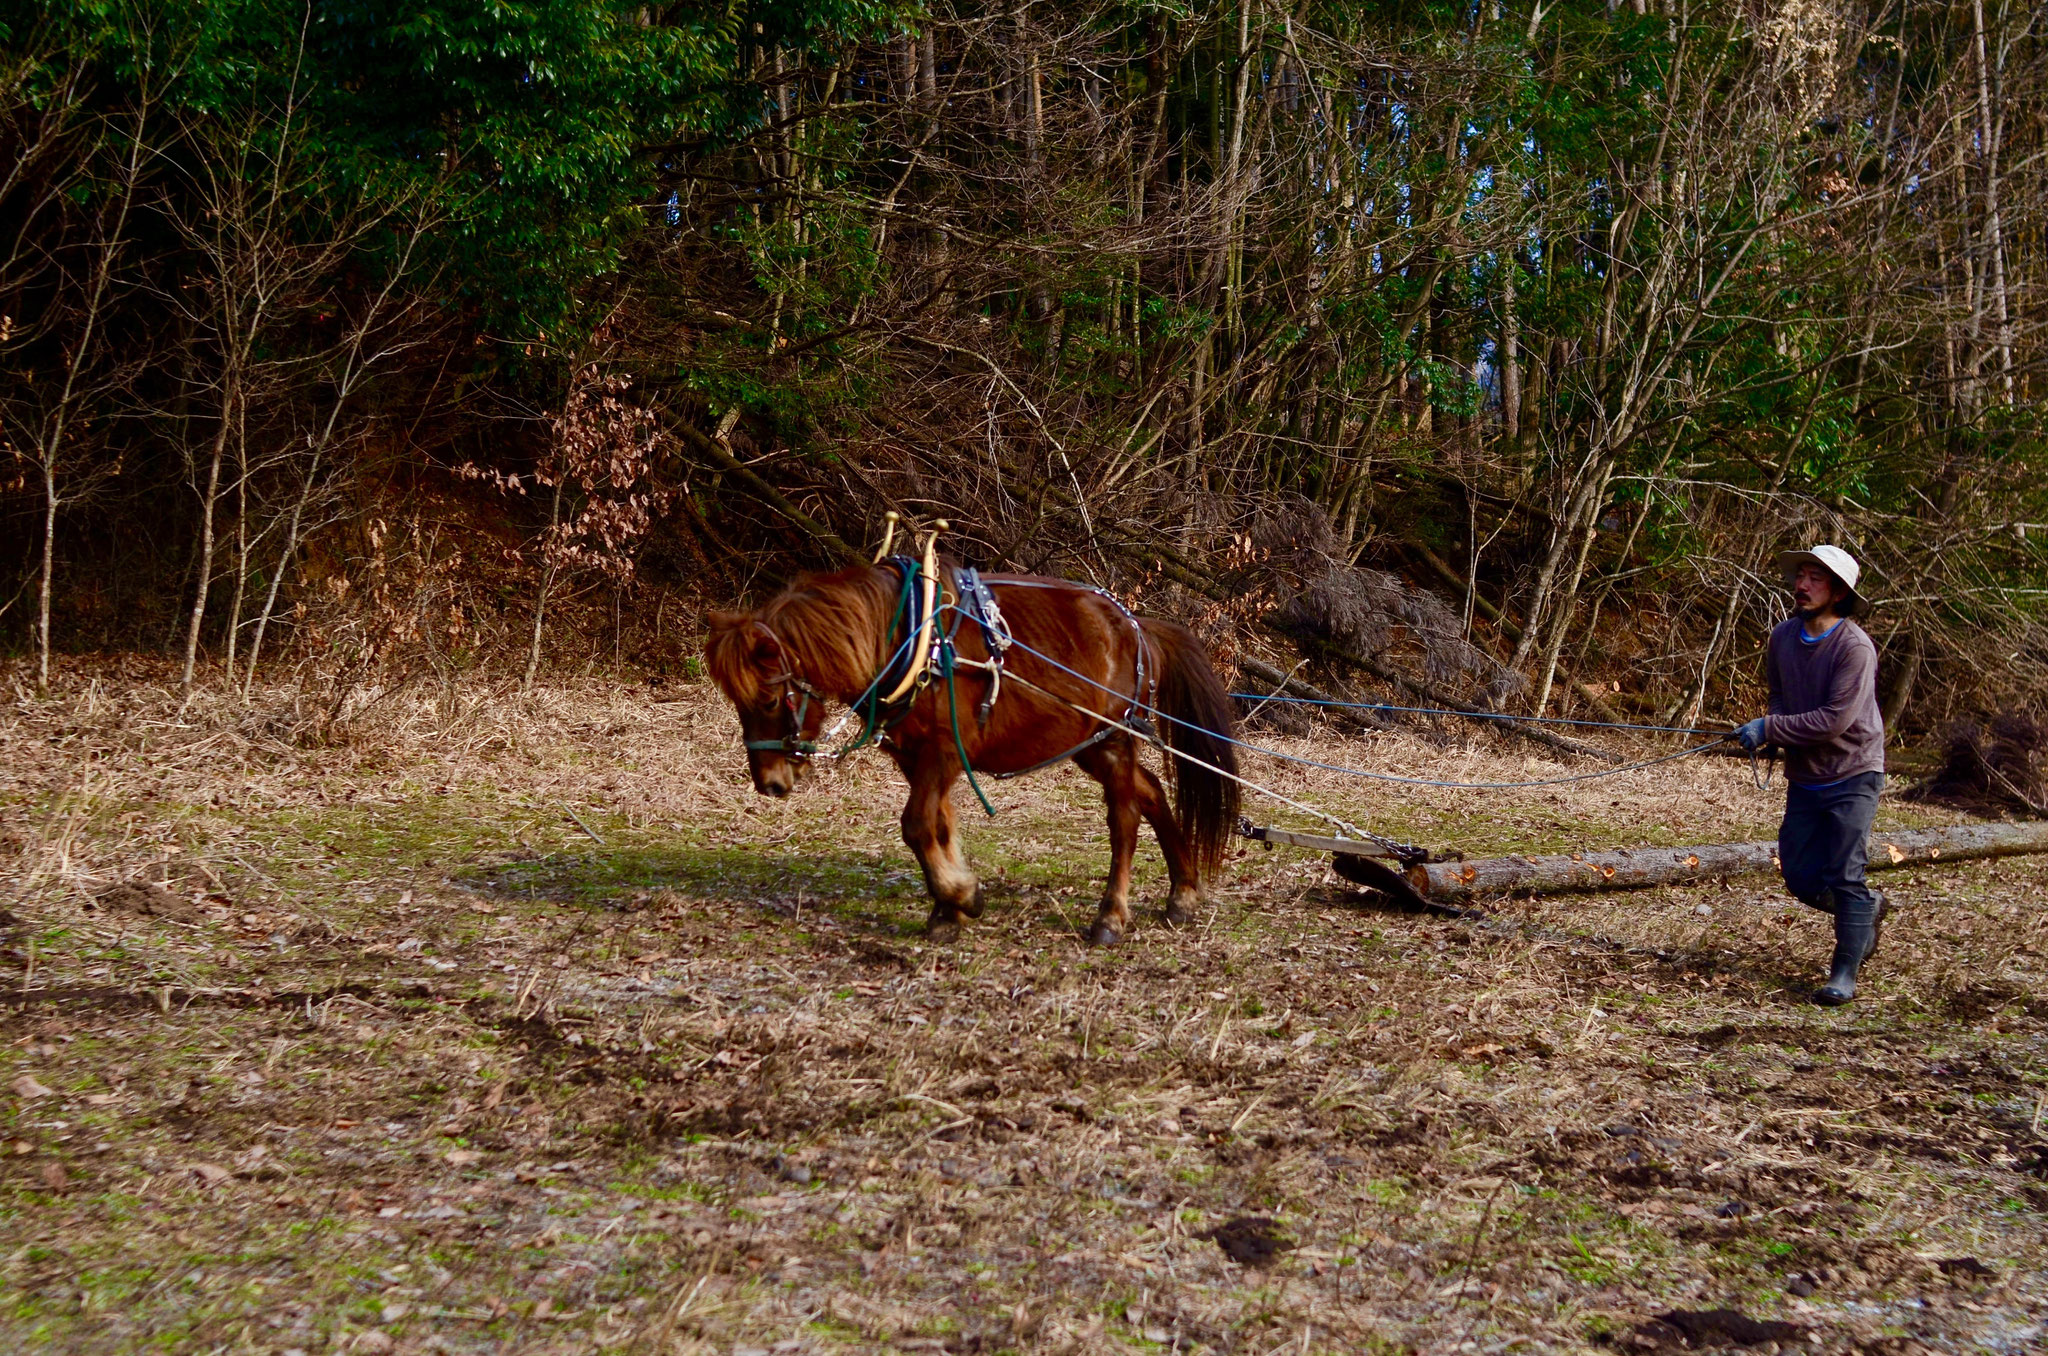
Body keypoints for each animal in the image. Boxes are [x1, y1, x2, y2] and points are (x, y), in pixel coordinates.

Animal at [712, 561, 1236, 946]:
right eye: (737, 702)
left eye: (770, 700)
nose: (769, 782)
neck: (910, 641)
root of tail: (1136, 626)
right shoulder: (916, 757)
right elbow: (938, 825)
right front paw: (950, 909)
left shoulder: (943, 752)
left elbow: (916, 824)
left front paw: (961, 896)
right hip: (1085, 743)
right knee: (1150, 791)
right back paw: (1183, 892)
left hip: (1112, 739)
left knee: (1125, 818)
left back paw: (1111, 916)